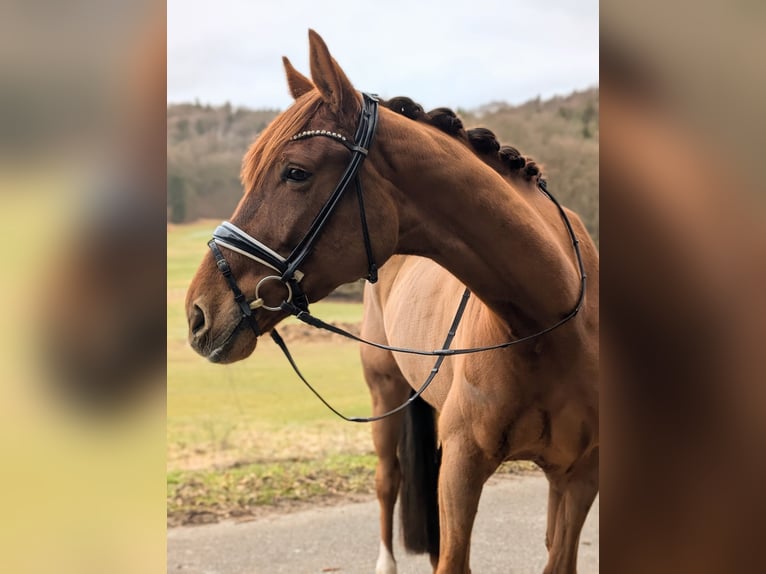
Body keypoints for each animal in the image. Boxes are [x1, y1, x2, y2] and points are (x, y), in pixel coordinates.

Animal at [186, 29, 600, 572]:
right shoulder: (463, 469)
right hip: (384, 397)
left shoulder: (577, 479)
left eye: (295, 173)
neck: (546, 324)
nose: (197, 313)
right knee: (388, 482)